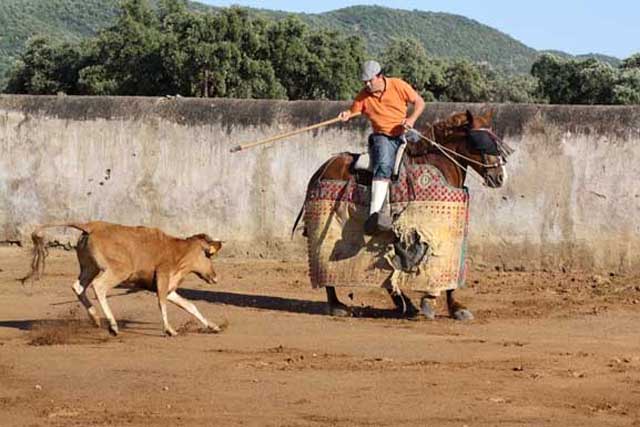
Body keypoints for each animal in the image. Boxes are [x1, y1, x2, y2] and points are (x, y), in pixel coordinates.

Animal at [23, 221, 222, 338]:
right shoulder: (163, 279)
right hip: (118, 271)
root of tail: (92, 226)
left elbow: (190, 306)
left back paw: (95, 319)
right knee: (98, 287)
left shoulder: (169, 288)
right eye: (209, 255)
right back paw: (112, 326)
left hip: (90, 268)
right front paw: (169, 329)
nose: (215, 276)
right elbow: (162, 304)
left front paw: (213, 326)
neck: (177, 251)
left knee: (78, 287)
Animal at [298, 110, 508, 320]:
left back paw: (403, 303)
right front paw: (433, 302)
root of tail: (320, 171)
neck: (438, 164)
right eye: (481, 142)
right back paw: (337, 305)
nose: (500, 177)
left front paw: (455, 307)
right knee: (322, 261)